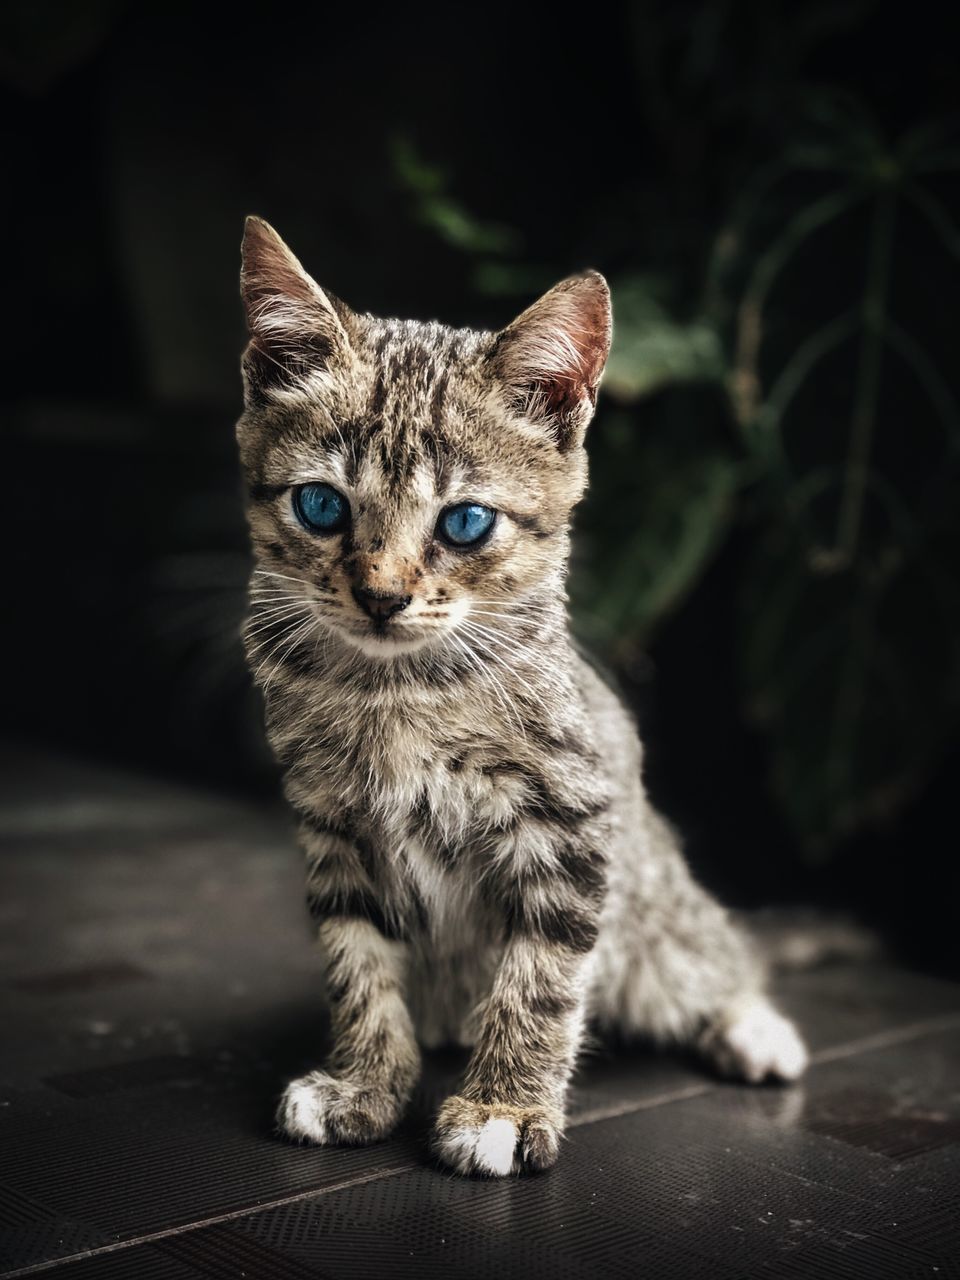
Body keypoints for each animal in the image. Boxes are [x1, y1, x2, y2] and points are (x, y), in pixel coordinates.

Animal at [236, 215, 808, 1172]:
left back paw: (754, 1027)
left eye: (466, 521)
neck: (397, 689)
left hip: (656, 918)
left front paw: (502, 1107)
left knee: (713, 953)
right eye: (320, 506)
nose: (381, 597)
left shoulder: (571, 821)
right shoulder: (331, 827)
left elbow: (540, 976)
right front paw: (364, 1083)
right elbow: (358, 965)